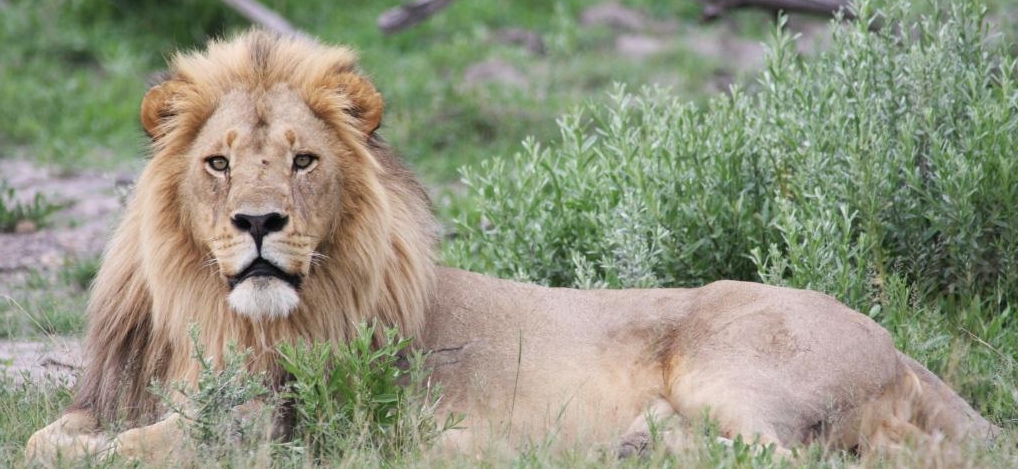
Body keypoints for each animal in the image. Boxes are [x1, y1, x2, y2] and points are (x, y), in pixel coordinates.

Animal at [26, 30, 1000, 465]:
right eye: (219, 163)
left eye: (303, 161)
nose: (259, 223)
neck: (216, 315)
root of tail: (895, 343)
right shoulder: (122, 390)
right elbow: (56, 429)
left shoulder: (258, 426)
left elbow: (87, 449)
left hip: (732, 367)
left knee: (783, 454)